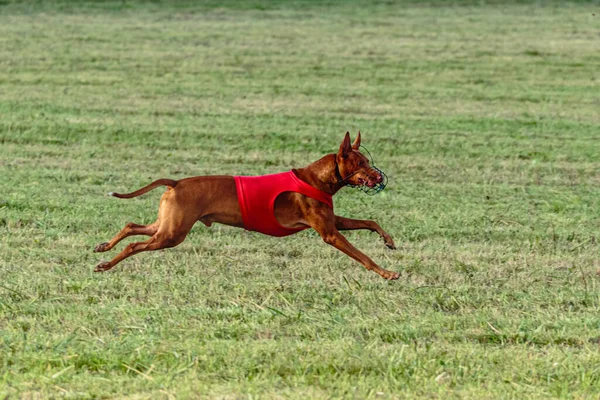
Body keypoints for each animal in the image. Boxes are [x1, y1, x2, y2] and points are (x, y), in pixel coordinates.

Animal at [94, 133, 398, 280]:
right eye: (361, 163)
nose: (379, 177)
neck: (317, 178)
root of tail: (176, 182)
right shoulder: (330, 233)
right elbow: (363, 256)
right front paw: (387, 273)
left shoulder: (333, 221)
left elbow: (370, 222)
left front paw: (388, 240)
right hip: (172, 233)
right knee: (135, 244)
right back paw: (106, 264)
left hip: (167, 225)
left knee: (132, 225)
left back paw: (104, 247)